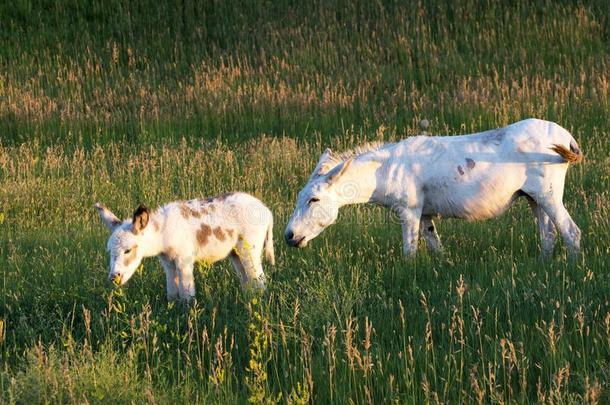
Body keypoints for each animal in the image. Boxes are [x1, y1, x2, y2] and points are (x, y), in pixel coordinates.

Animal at [94, 192, 272, 300]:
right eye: (109, 251)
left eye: (128, 250)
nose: (113, 278)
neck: (163, 233)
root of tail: (266, 210)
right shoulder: (168, 263)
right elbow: (172, 293)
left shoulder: (184, 260)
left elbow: (187, 293)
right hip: (236, 254)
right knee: (247, 281)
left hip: (250, 250)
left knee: (259, 281)